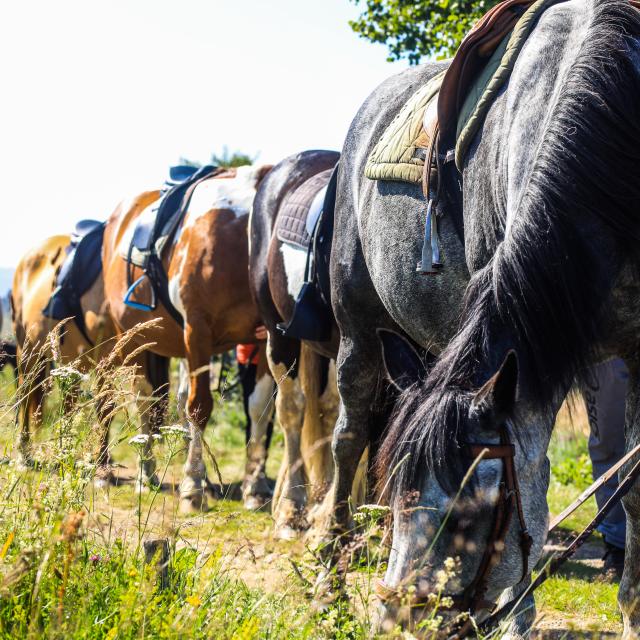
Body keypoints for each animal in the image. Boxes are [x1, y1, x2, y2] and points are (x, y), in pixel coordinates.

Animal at [103, 166, 276, 516]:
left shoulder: (262, 338)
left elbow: (259, 409)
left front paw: (255, 485)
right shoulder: (197, 332)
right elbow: (199, 407)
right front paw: (192, 486)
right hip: (136, 340)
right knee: (145, 402)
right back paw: (147, 472)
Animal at [330, 1, 640, 636]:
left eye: (471, 514)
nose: (398, 618)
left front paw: (631, 612)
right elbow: (535, 478)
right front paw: (519, 617)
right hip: (355, 331)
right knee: (347, 438)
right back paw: (327, 580)